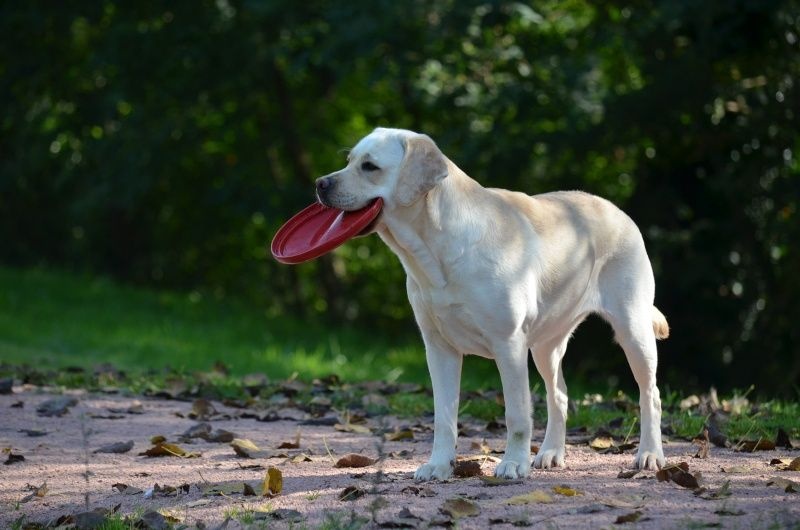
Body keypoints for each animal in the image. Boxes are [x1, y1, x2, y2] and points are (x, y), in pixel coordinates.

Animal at [316, 127, 664, 478]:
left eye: (369, 166)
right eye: (349, 160)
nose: (320, 183)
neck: (434, 250)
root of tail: (618, 211)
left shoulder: (508, 344)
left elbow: (517, 414)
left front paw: (513, 463)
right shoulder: (438, 347)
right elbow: (444, 418)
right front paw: (439, 465)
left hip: (633, 330)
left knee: (651, 395)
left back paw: (650, 454)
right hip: (546, 346)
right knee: (560, 395)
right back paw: (551, 452)